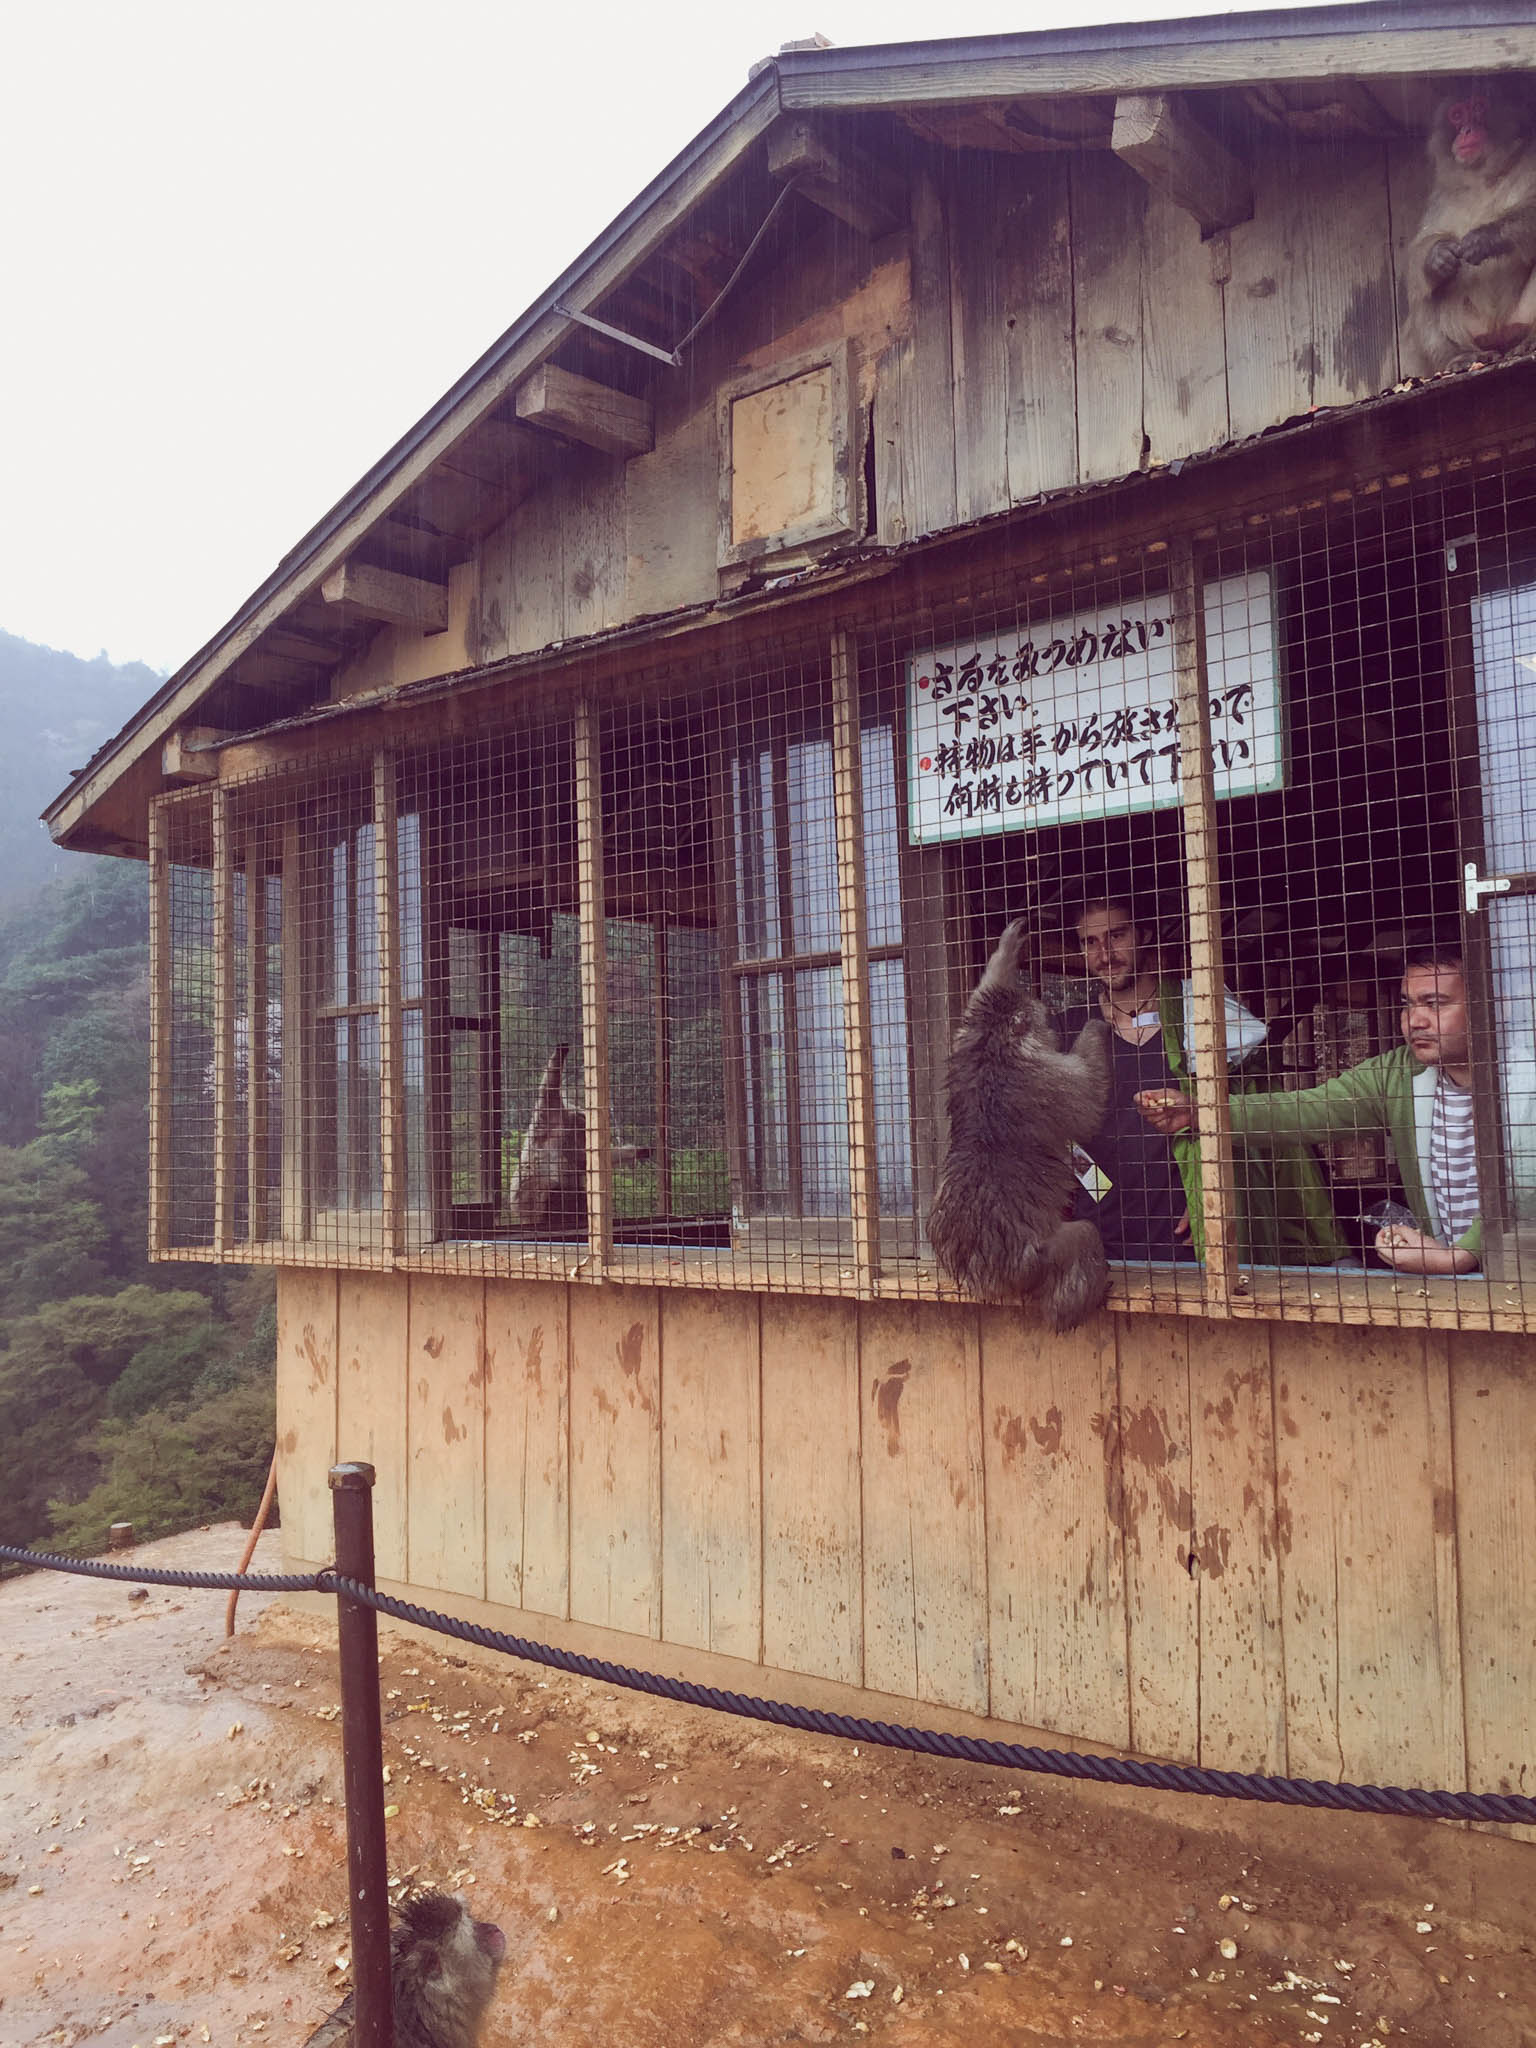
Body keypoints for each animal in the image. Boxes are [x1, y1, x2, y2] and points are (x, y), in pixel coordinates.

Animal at [933, 913, 1114, 1327]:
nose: (1051, 1023)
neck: (993, 1047)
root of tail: (981, 1273)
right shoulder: (1047, 1078)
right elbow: (1089, 1104)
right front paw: (1097, 1024)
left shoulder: (967, 1038)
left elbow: (985, 991)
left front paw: (1007, 949)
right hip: (1033, 1262)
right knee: (1083, 1235)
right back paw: (1074, 1308)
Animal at [1417, 78, 1536, 376]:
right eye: (1457, 114)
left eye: (1480, 106)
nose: (1467, 130)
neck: (1484, 176)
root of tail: (1498, 331)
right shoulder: (1440, 193)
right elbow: (1423, 244)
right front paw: (1437, 256)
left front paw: (1486, 238)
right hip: (1474, 330)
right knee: (1428, 288)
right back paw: (1457, 356)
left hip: (1520, 317)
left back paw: (1533, 340)